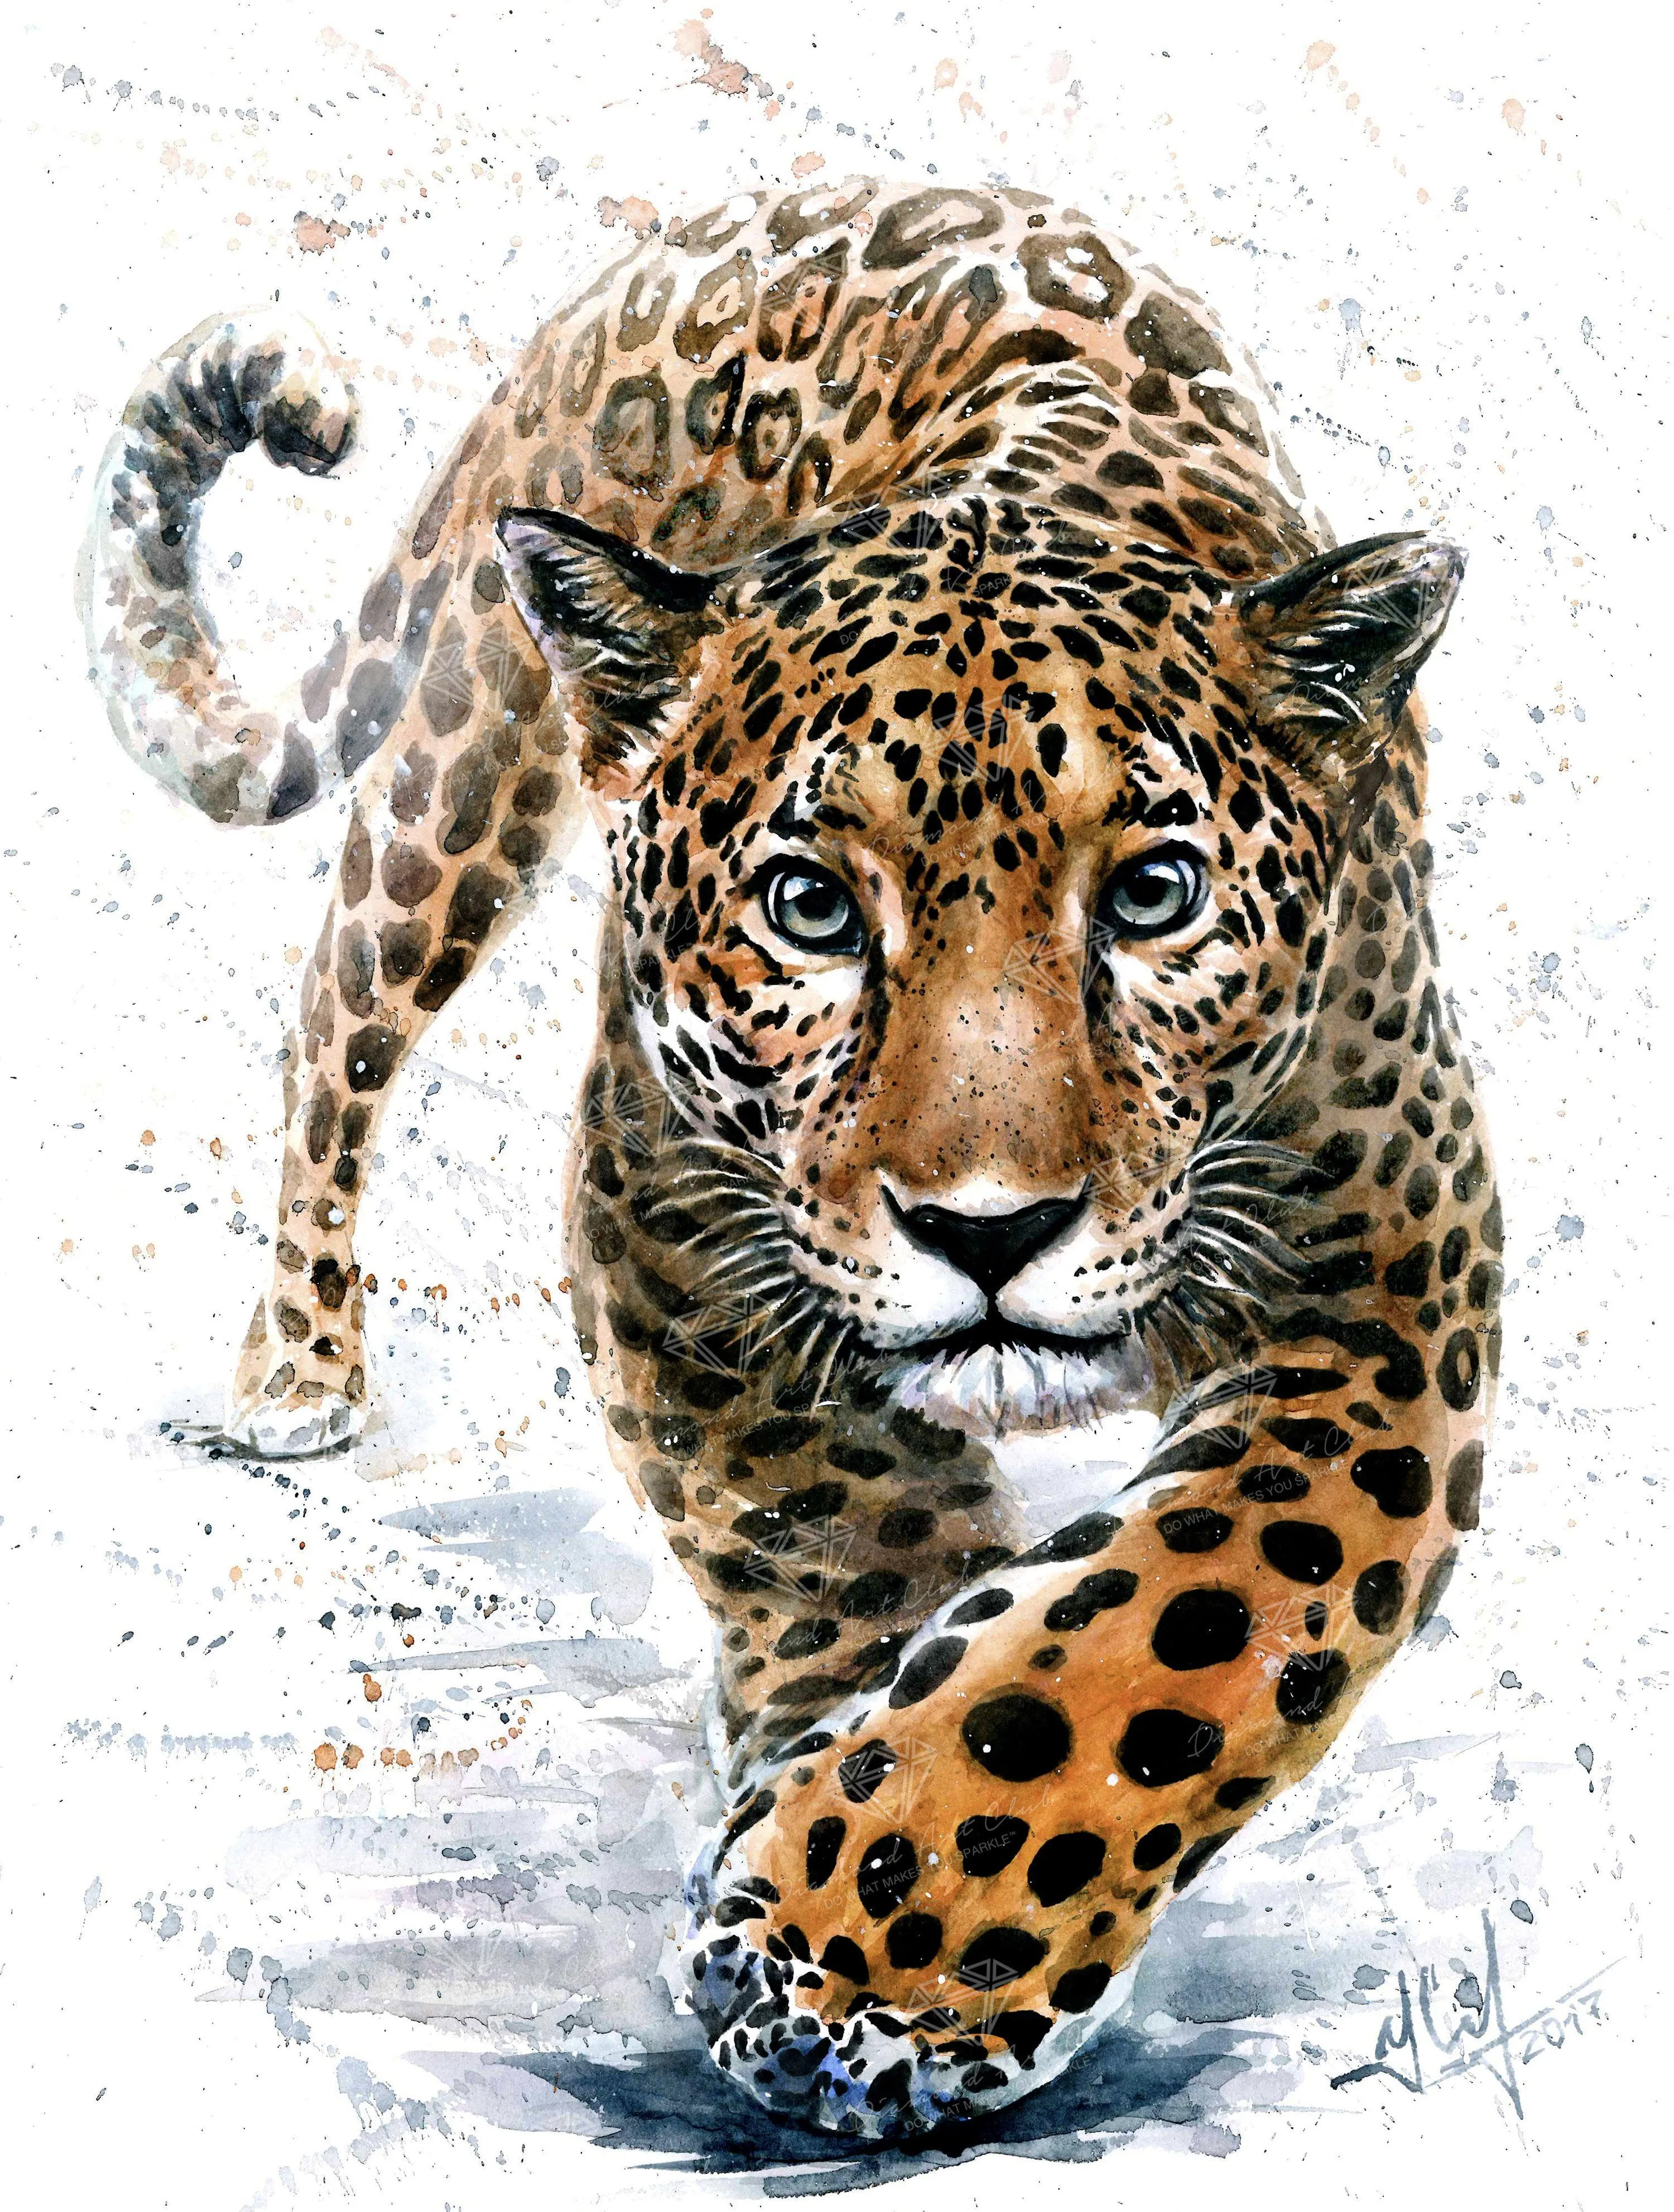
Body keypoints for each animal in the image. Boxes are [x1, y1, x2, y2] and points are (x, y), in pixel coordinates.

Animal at [80, 178, 1498, 2142]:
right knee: (333, 1018)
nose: (991, 1229)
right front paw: (852, 1904)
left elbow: (1177, 1621)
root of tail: (745, 209)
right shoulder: (672, 1223)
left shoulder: (1387, 1292)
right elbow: (839, 1529)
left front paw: (874, 1948)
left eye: (1154, 893)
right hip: (468, 759)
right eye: (812, 907)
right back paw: (296, 1365)